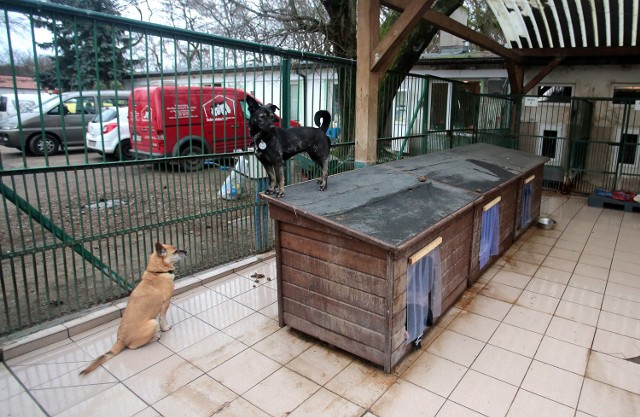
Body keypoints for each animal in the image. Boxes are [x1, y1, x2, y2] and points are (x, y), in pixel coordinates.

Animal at [79, 242, 186, 376]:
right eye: (175, 251)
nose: (186, 251)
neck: (157, 272)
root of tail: (120, 340)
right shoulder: (165, 303)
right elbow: (162, 319)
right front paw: (165, 328)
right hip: (152, 323)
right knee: (133, 346)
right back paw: (154, 337)